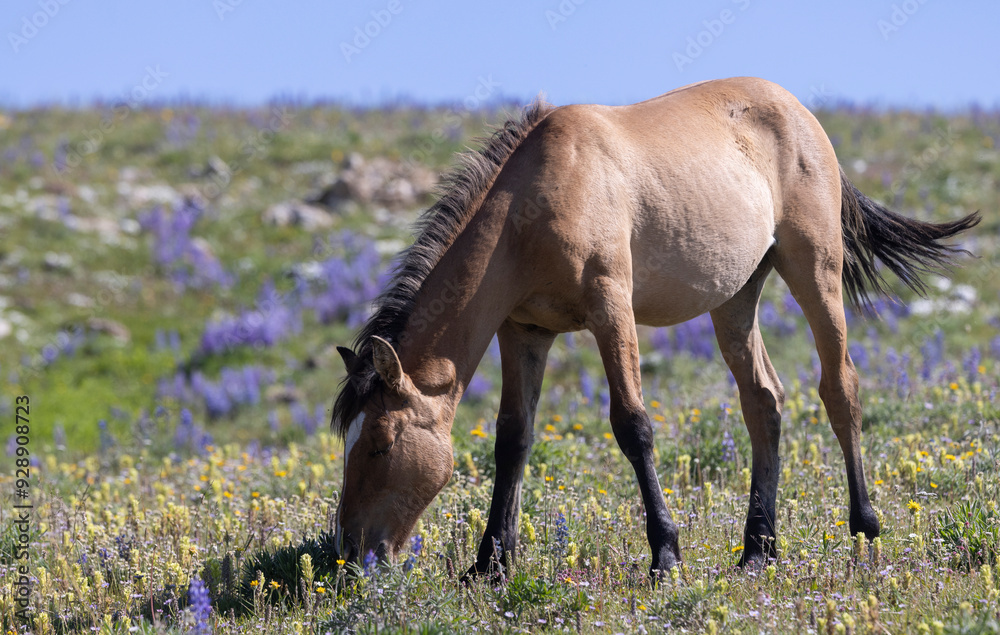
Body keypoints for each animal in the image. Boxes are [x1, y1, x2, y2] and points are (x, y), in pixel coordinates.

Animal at [326, 78, 976, 576]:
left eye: (380, 444)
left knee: (839, 386)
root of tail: (799, 110)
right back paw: (757, 551)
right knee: (763, 401)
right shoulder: (524, 331)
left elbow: (633, 426)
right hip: (735, 297)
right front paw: (489, 564)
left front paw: (665, 553)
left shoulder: (610, 307)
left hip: (814, 267)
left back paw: (864, 529)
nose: (352, 555)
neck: (532, 202)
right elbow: (513, 438)